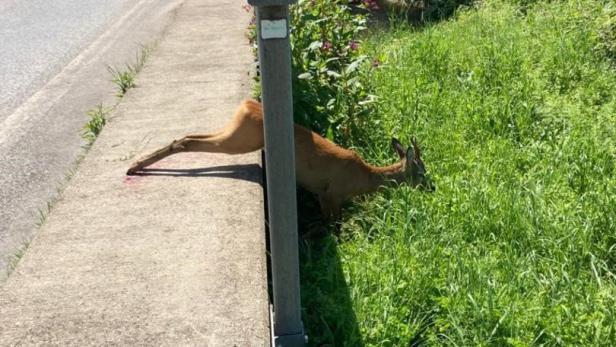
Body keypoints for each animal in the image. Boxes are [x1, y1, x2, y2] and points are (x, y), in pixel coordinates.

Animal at [126, 99, 434, 219]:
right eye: (422, 171)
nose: (433, 188)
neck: (365, 177)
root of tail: (249, 103)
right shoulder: (331, 194)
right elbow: (332, 227)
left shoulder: (321, 194)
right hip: (243, 138)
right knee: (190, 142)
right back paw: (135, 167)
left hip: (235, 130)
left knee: (189, 135)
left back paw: (135, 165)